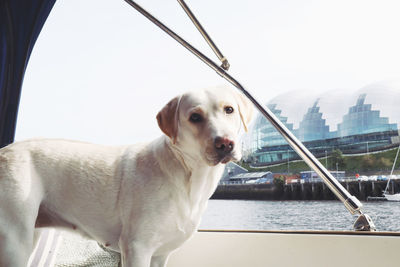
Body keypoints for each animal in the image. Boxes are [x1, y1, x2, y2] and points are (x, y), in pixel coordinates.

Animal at [0, 86, 252, 267]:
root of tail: (5, 151)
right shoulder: (137, 248)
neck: (188, 173)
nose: (225, 143)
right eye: (195, 117)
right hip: (15, 242)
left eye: (229, 110)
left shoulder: (159, 255)